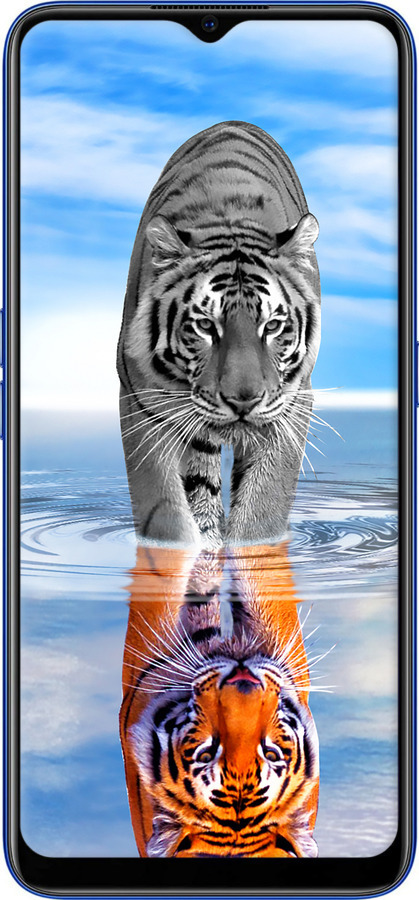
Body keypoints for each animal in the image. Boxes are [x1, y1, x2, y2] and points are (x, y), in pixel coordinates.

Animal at [117, 120, 321, 548]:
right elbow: (164, 511)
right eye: (205, 326)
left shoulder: (292, 404)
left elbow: (263, 508)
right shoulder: (141, 401)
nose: (243, 401)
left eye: (272, 326)